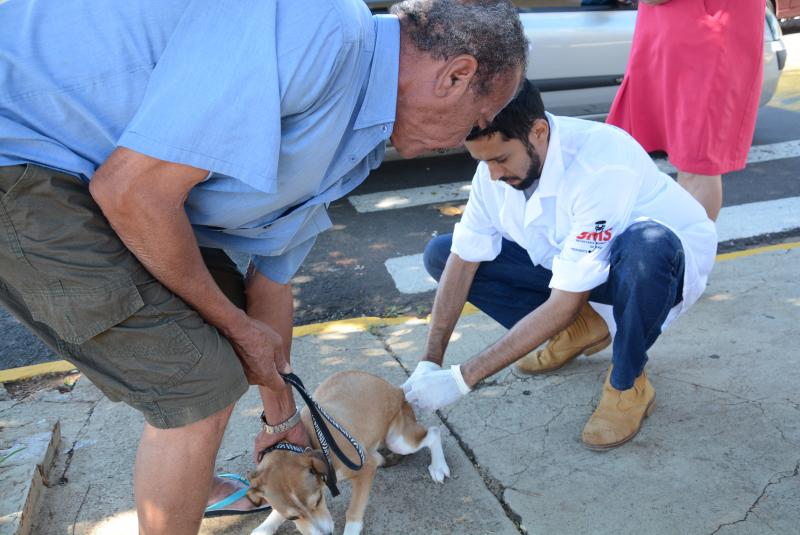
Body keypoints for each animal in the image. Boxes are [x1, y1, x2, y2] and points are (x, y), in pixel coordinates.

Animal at [248, 372, 450, 535]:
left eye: (318, 501)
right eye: (292, 519)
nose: (327, 534)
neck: (314, 441)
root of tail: (397, 390)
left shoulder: (365, 467)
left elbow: (353, 512)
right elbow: (276, 512)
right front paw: (264, 528)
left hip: (398, 441)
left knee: (433, 432)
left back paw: (438, 466)